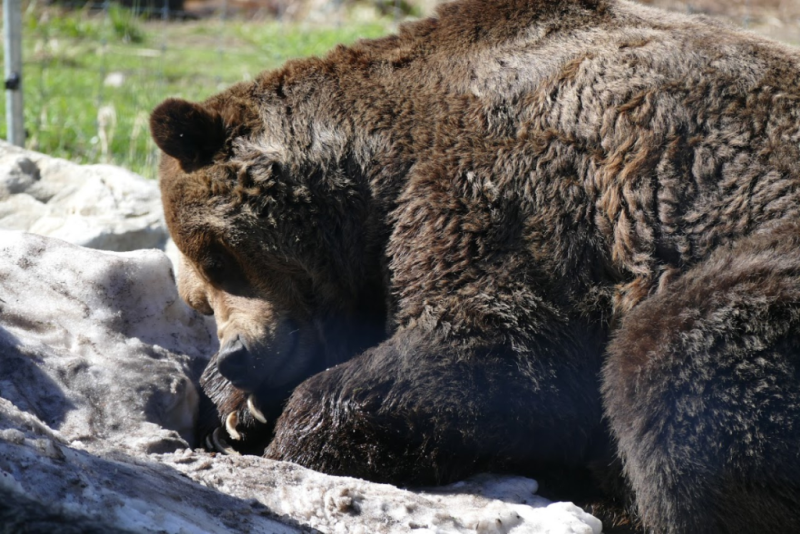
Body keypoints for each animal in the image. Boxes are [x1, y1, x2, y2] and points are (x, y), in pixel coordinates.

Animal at [150, 0, 800, 531]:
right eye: (199, 297)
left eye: (217, 256)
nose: (237, 353)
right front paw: (233, 414)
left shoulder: (505, 192)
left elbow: (495, 345)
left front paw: (291, 434)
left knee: (672, 362)